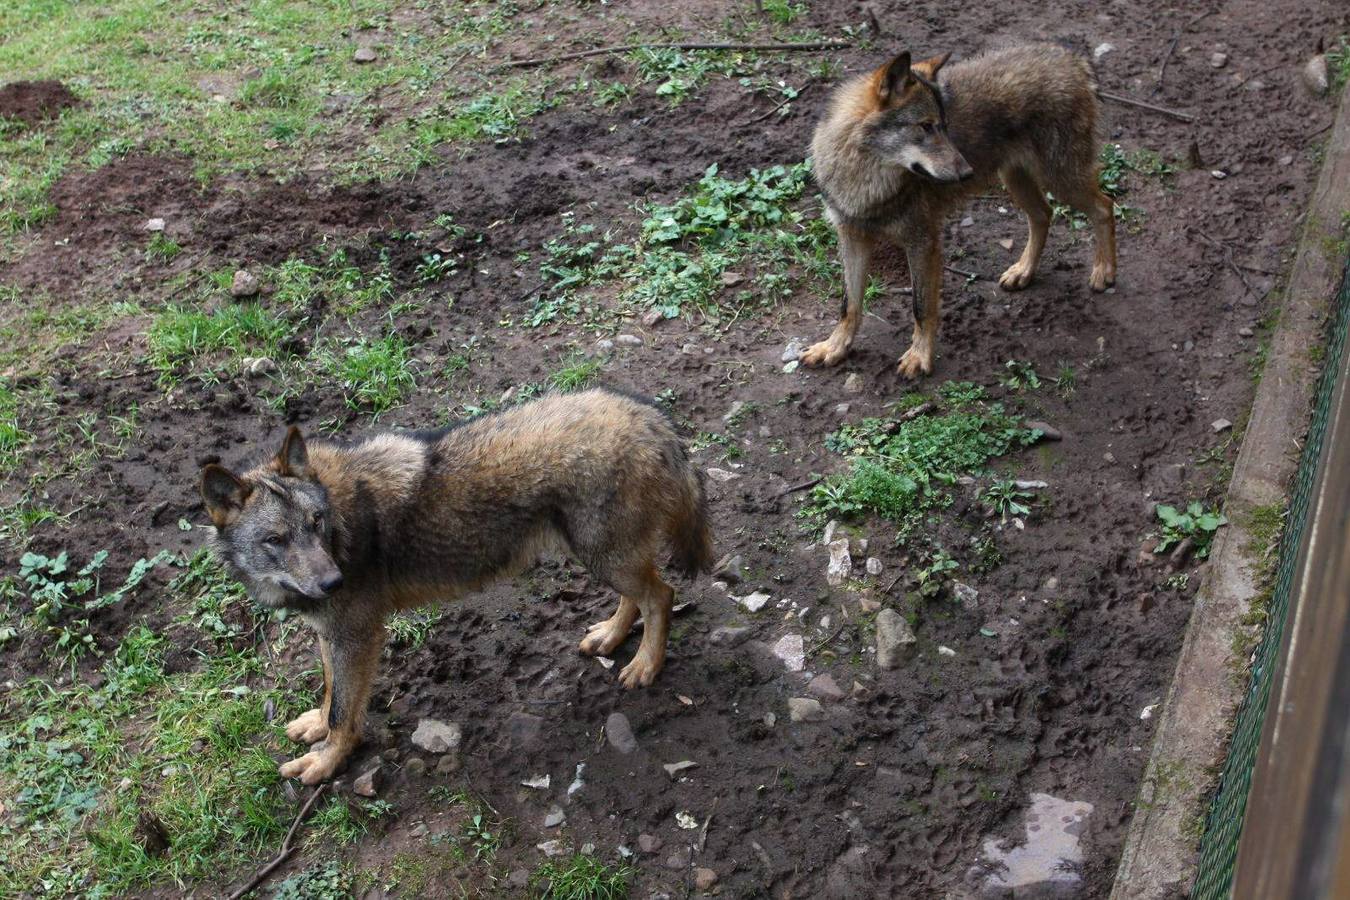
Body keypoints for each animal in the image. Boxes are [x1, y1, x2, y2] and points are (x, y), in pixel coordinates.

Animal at [197, 391, 718, 782]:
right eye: (276, 539)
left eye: (315, 522)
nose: (333, 581)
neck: (340, 521)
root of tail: (649, 416)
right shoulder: (333, 633)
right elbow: (330, 692)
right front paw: (316, 726)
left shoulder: (358, 635)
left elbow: (346, 712)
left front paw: (326, 762)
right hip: (600, 556)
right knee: (639, 597)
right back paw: (610, 637)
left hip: (605, 556)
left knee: (661, 596)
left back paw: (645, 665)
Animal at [799, 43, 1117, 377]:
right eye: (926, 126)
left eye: (945, 127)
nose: (967, 172)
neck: (864, 181)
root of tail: (1070, 58)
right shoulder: (852, 237)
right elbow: (849, 304)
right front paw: (834, 348)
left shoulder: (923, 242)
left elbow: (921, 307)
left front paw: (919, 357)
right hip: (1015, 180)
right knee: (1044, 214)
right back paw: (1024, 272)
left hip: (1060, 181)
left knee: (1104, 206)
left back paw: (1104, 272)